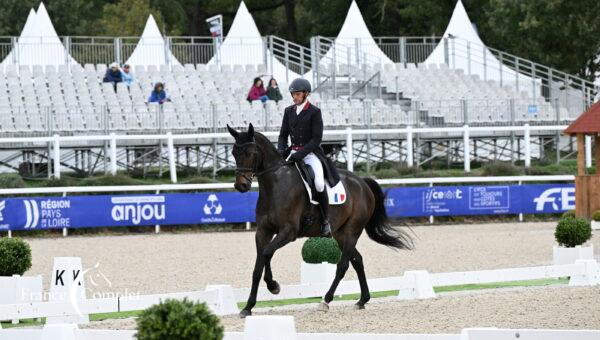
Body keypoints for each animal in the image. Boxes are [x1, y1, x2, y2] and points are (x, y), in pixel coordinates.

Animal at [226, 123, 412, 318]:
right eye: (233, 153)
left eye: (250, 153)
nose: (241, 186)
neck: (275, 186)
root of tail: (362, 183)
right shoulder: (263, 231)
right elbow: (258, 266)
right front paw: (248, 307)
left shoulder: (288, 232)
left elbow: (267, 253)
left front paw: (273, 286)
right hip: (340, 234)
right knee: (358, 260)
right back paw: (362, 300)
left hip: (352, 231)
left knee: (343, 265)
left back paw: (326, 301)